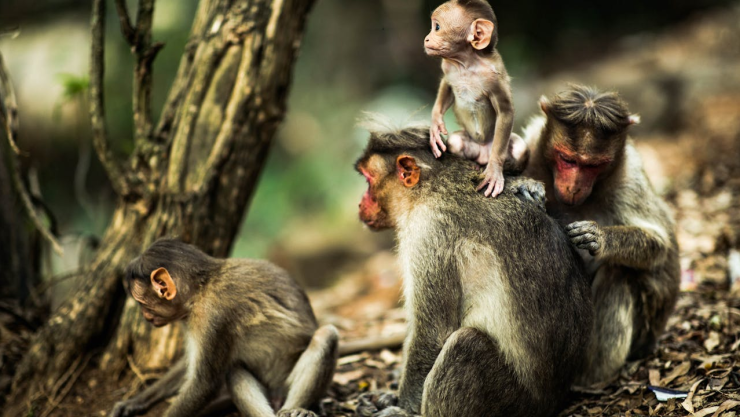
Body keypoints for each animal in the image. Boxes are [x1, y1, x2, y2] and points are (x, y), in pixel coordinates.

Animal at [109, 239, 338, 417]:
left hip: (284, 383)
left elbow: (204, 384)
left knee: (326, 335)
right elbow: (189, 366)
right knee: (233, 369)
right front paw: (135, 402)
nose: (145, 316)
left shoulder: (213, 316)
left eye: (142, 303)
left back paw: (295, 409)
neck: (201, 289)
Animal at [353, 123, 593, 417]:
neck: (432, 189)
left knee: (466, 344)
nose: (360, 204)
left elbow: (432, 331)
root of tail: (553, 400)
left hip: (514, 402)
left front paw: (402, 407)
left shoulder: (429, 232)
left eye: (368, 181)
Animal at [425, 0, 526, 197]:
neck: (467, 64)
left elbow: (506, 111)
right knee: (456, 142)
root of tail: (483, 153)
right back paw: (474, 165)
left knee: (519, 149)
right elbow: (446, 85)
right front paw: (435, 125)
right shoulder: (448, 66)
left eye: (437, 27)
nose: (426, 38)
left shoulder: (493, 77)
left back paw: (505, 168)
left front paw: (494, 170)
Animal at [515, 85, 680, 385]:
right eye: (567, 159)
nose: (573, 187)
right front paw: (528, 186)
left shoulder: (629, 178)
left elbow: (659, 245)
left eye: (593, 166)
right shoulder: (532, 145)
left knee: (619, 273)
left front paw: (599, 238)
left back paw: (591, 378)